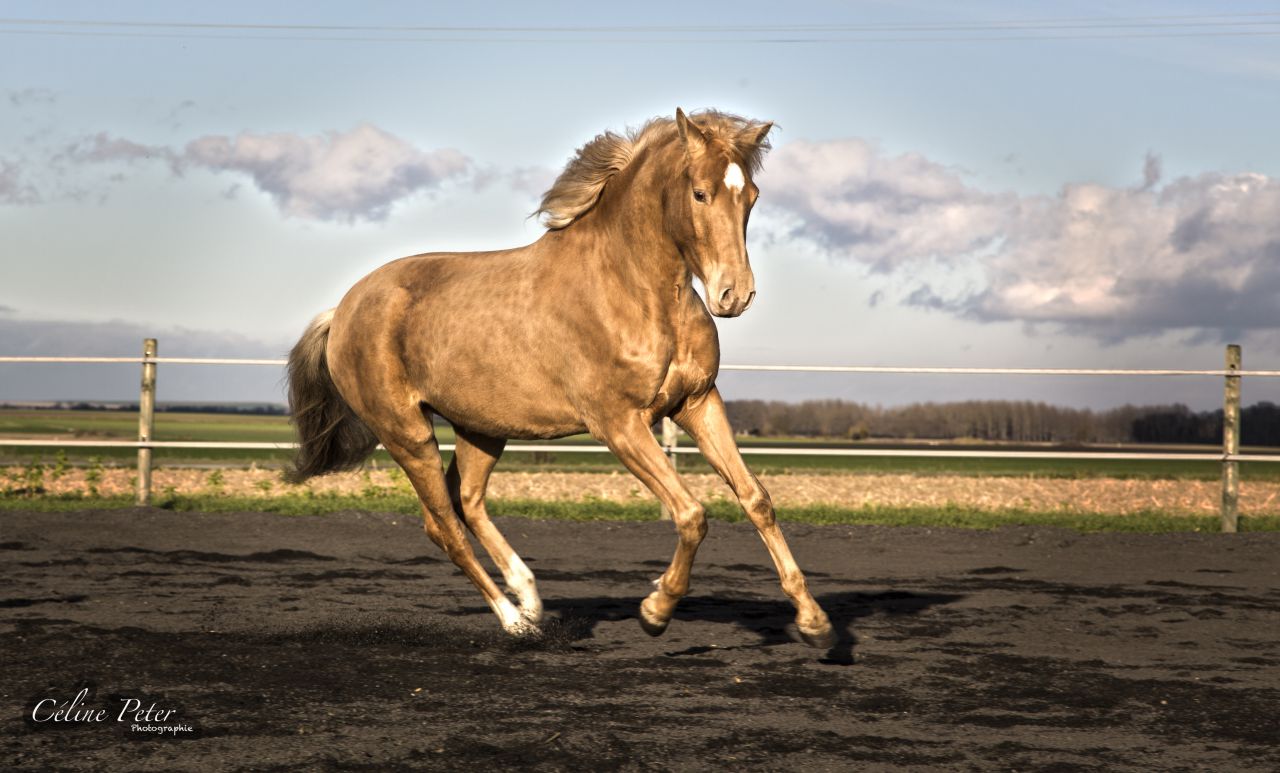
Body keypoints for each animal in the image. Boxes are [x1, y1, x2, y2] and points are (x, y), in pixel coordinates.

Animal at [285, 108, 835, 648]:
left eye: (752, 195)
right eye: (700, 192)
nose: (734, 295)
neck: (634, 290)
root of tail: (342, 310)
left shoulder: (698, 403)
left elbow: (756, 500)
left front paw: (814, 623)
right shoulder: (618, 423)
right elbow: (691, 513)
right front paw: (655, 609)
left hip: (481, 430)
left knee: (468, 503)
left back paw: (530, 595)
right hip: (408, 434)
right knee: (444, 526)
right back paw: (516, 622)